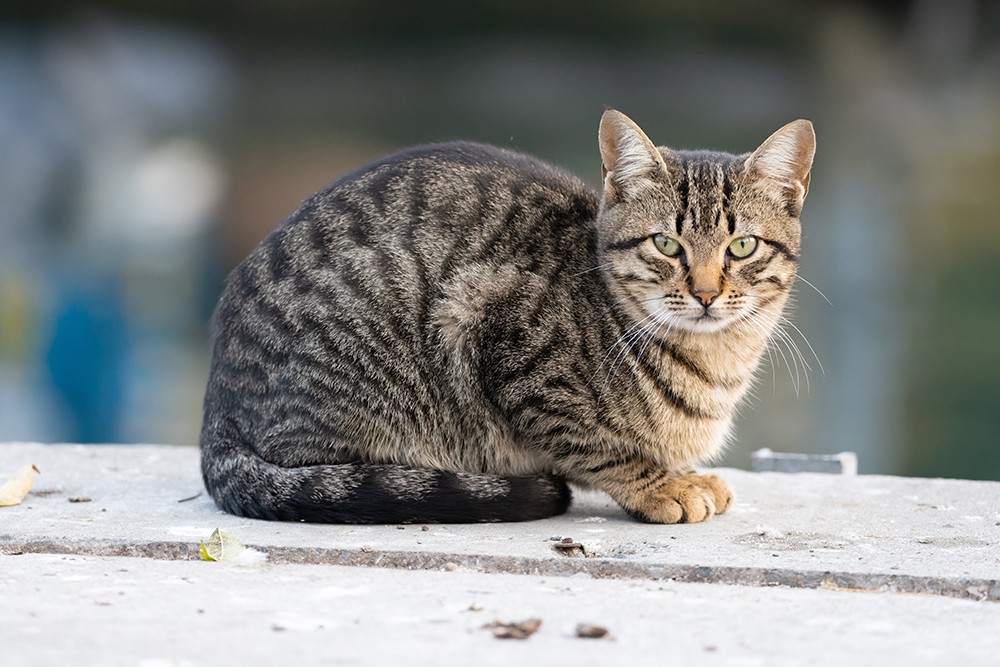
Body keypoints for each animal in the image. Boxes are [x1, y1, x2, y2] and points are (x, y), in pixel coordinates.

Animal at [199, 109, 816, 524]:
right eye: (666, 244)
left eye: (742, 247)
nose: (707, 293)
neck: (716, 363)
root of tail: (216, 410)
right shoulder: (505, 340)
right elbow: (596, 446)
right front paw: (661, 485)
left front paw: (684, 473)